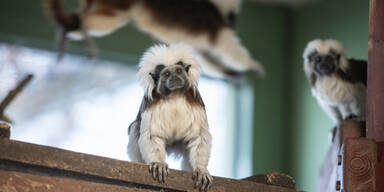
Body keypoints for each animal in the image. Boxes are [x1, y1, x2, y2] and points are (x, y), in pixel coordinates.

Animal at [129, 43, 213, 190]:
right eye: (167, 74)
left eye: (178, 71)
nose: (174, 78)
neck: (175, 95)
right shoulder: (151, 104)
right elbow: (152, 135)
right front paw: (158, 164)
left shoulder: (196, 102)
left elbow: (198, 137)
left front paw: (201, 169)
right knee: (135, 127)